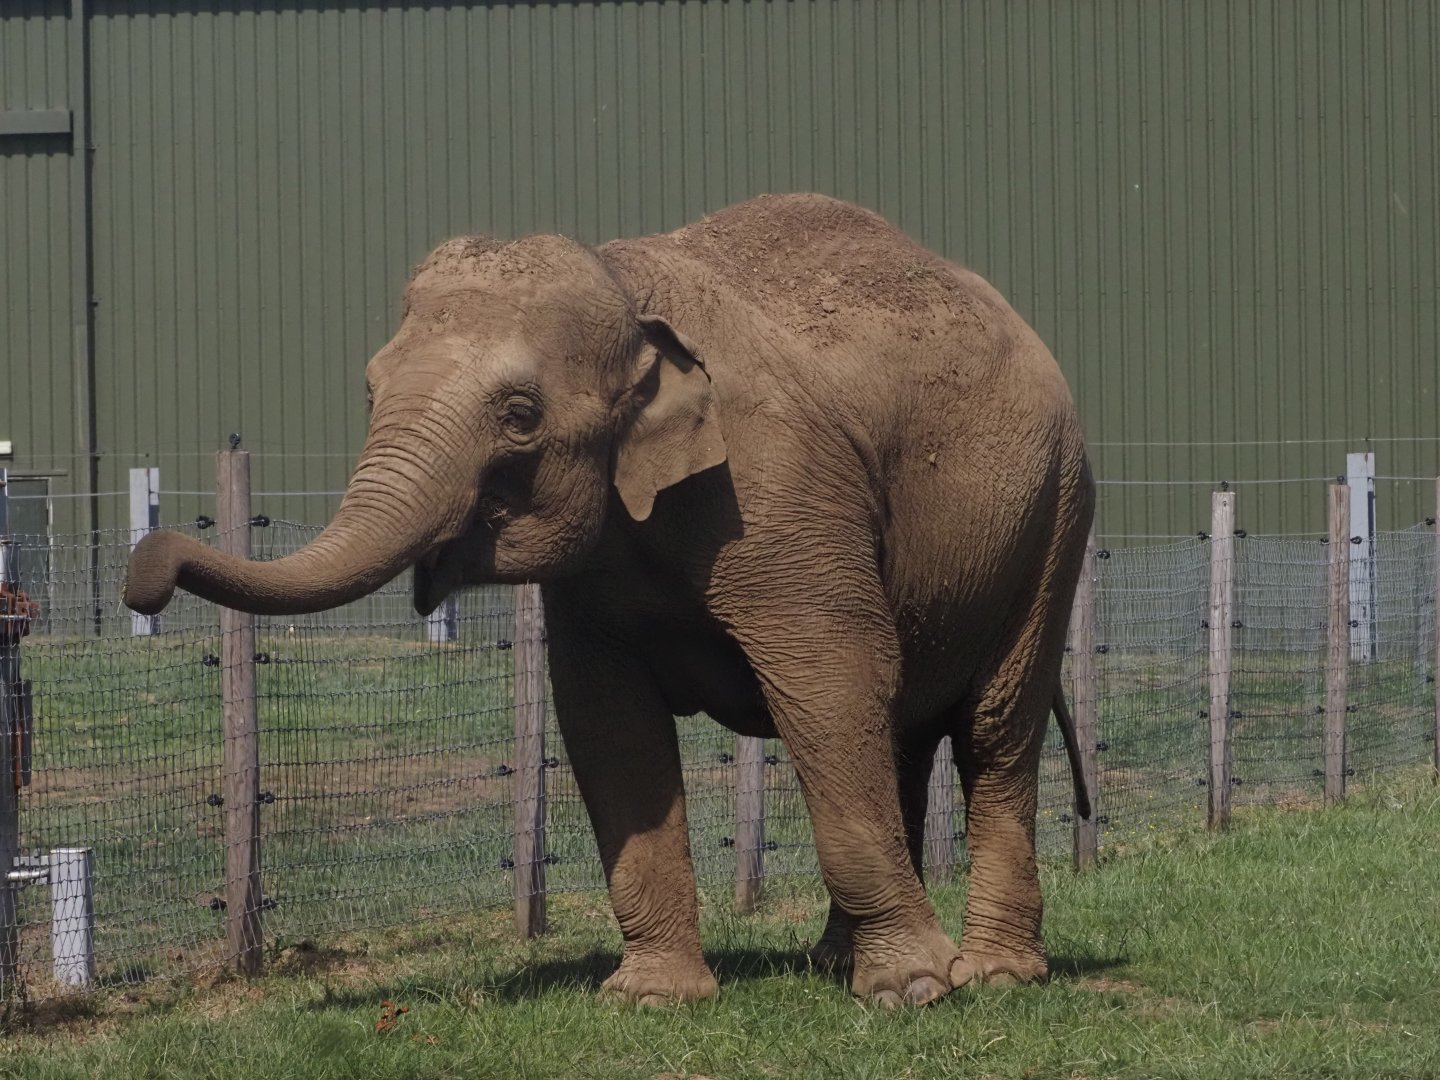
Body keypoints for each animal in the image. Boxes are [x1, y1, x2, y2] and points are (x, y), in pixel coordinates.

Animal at [125, 193, 1094, 1007]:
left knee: (992, 730)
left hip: (1053, 518)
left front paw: (911, 995)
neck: (626, 291)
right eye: (370, 390)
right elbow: (606, 721)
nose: (145, 570)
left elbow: (832, 680)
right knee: (902, 734)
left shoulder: (782, 490)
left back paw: (994, 975)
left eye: (521, 414)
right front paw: (651, 999)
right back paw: (838, 962)